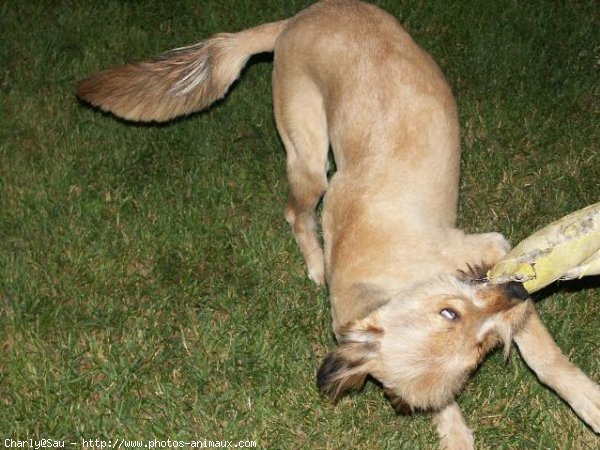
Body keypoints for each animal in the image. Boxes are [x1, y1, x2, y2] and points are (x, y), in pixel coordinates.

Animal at [78, 1, 600, 448]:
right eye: (474, 347)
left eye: (450, 314)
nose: (515, 292)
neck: (392, 283)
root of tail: (296, 19)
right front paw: (453, 432)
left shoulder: (493, 250)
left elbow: (547, 362)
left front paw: (587, 401)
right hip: (308, 157)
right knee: (294, 211)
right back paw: (315, 265)